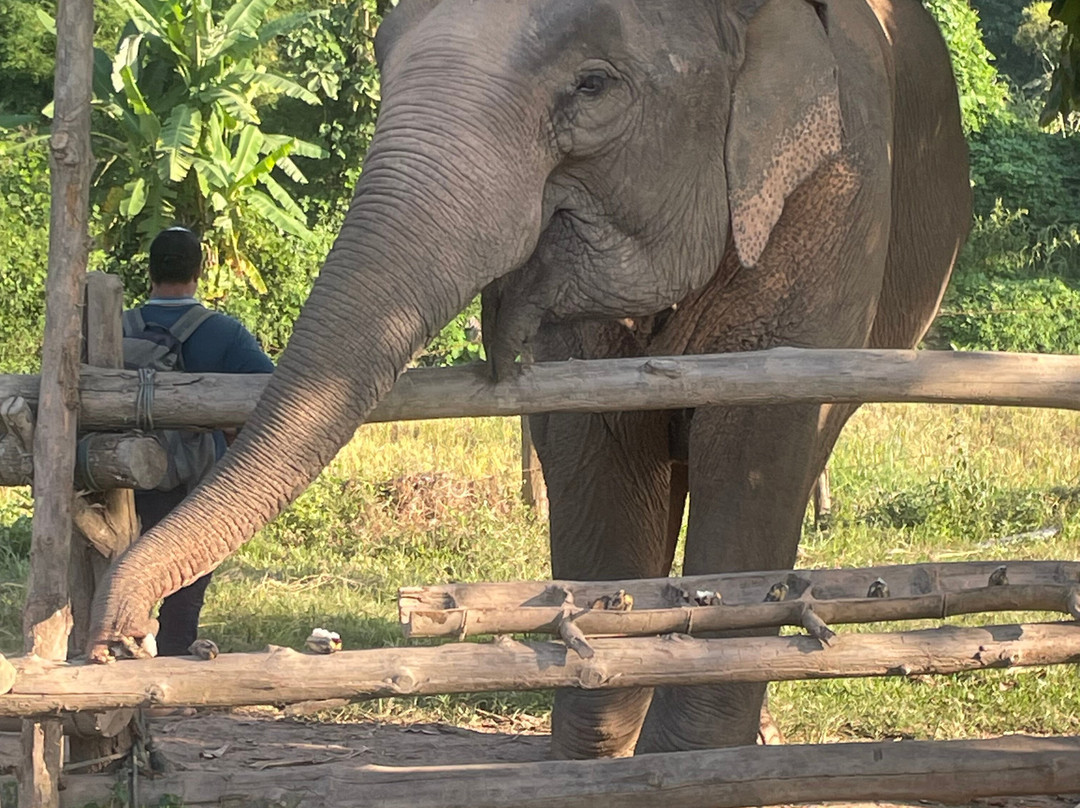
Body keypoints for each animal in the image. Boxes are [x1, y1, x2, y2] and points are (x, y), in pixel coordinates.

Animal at [90, 0, 971, 760]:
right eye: (382, 57)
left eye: (594, 85)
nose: (122, 642)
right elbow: (600, 448)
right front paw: (600, 743)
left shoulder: (841, 196)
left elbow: (753, 441)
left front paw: (693, 755)